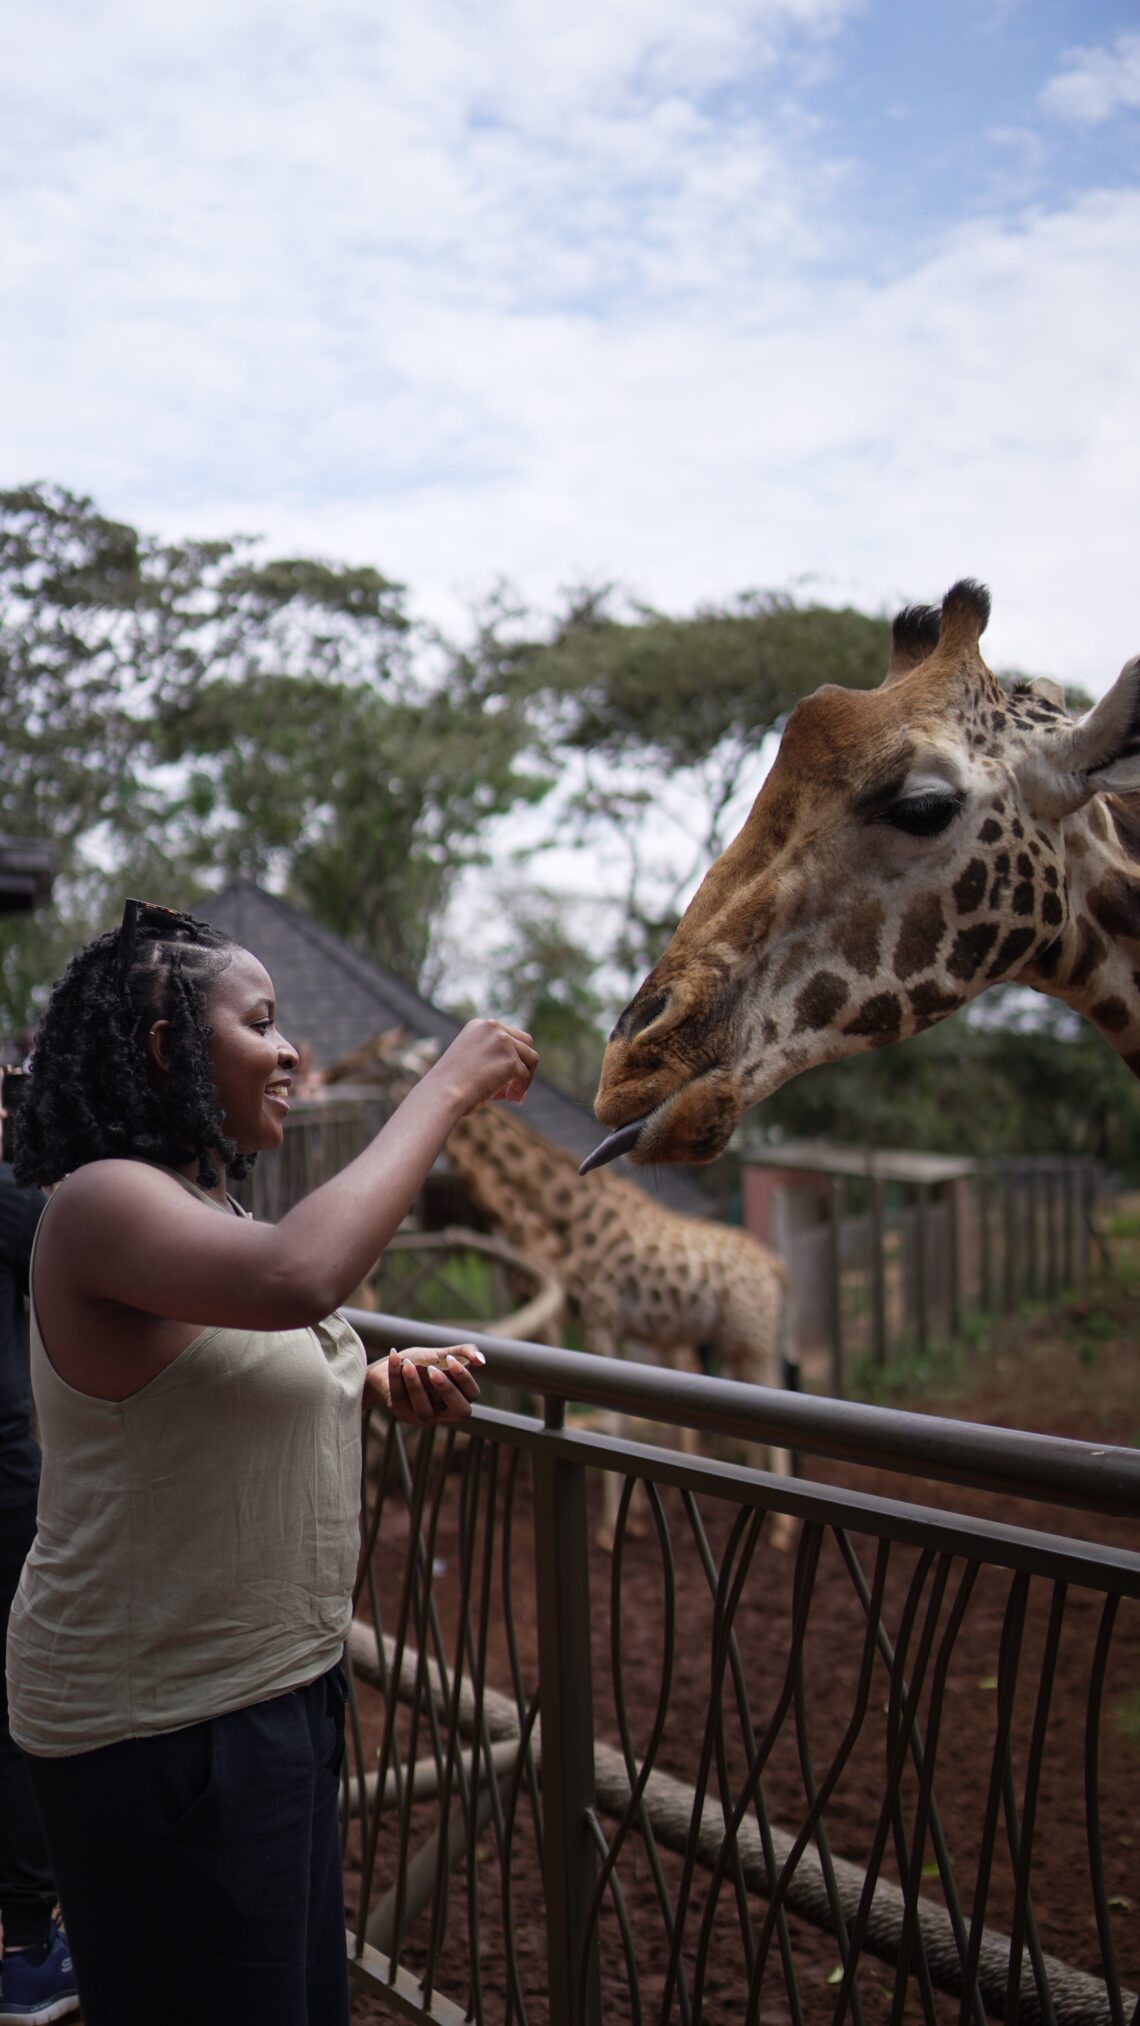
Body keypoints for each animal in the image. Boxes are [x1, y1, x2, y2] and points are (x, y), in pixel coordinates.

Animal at [320, 1030, 794, 1543]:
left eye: (377, 1062)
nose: (331, 1072)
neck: (563, 1215)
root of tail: (776, 1267)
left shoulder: (597, 1316)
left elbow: (608, 1418)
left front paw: (609, 1530)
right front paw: (625, 1519)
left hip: (748, 1334)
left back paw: (780, 1531)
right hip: (706, 1334)